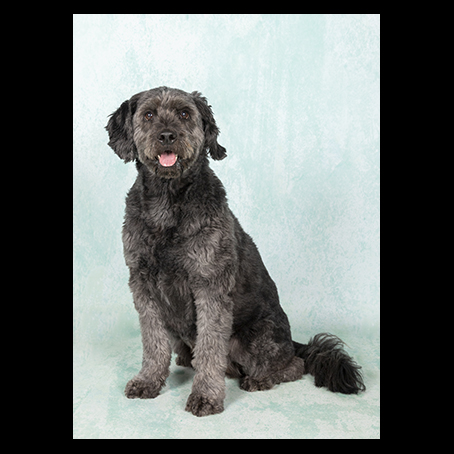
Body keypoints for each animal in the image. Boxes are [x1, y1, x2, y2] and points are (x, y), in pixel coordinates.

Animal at [106, 87, 365, 417]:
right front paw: (149, 380)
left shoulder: (210, 284)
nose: (167, 135)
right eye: (149, 114)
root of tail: (293, 341)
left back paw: (260, 378)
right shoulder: (142, 283)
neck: (168, 202)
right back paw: (184, 359)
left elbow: (210, 348)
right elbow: (153, 342)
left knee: (292, 364)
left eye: (184, 114)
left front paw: (206, 396)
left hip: (252, 339)